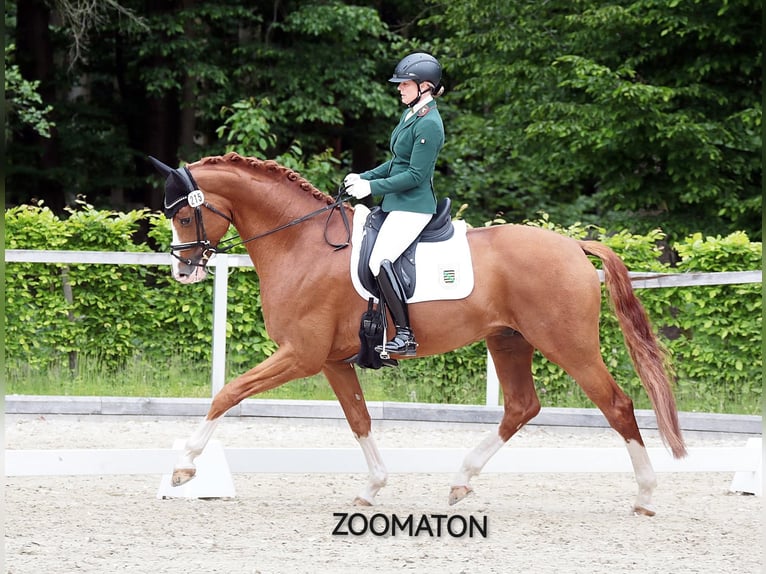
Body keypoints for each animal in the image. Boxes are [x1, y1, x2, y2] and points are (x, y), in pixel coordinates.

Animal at [149, 151, 686, 516]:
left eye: (184, 215)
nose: (182, 271)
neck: (301, 244)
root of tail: (574, 246)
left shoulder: (301, 354)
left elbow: (229, 392)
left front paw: (184, 465)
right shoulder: (331, 361)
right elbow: (359, 419)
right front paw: (371, 488)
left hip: (568, 344)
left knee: (617, 404)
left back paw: (645, 494)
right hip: (508, 340)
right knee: (521, 407)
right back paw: (461, 481)